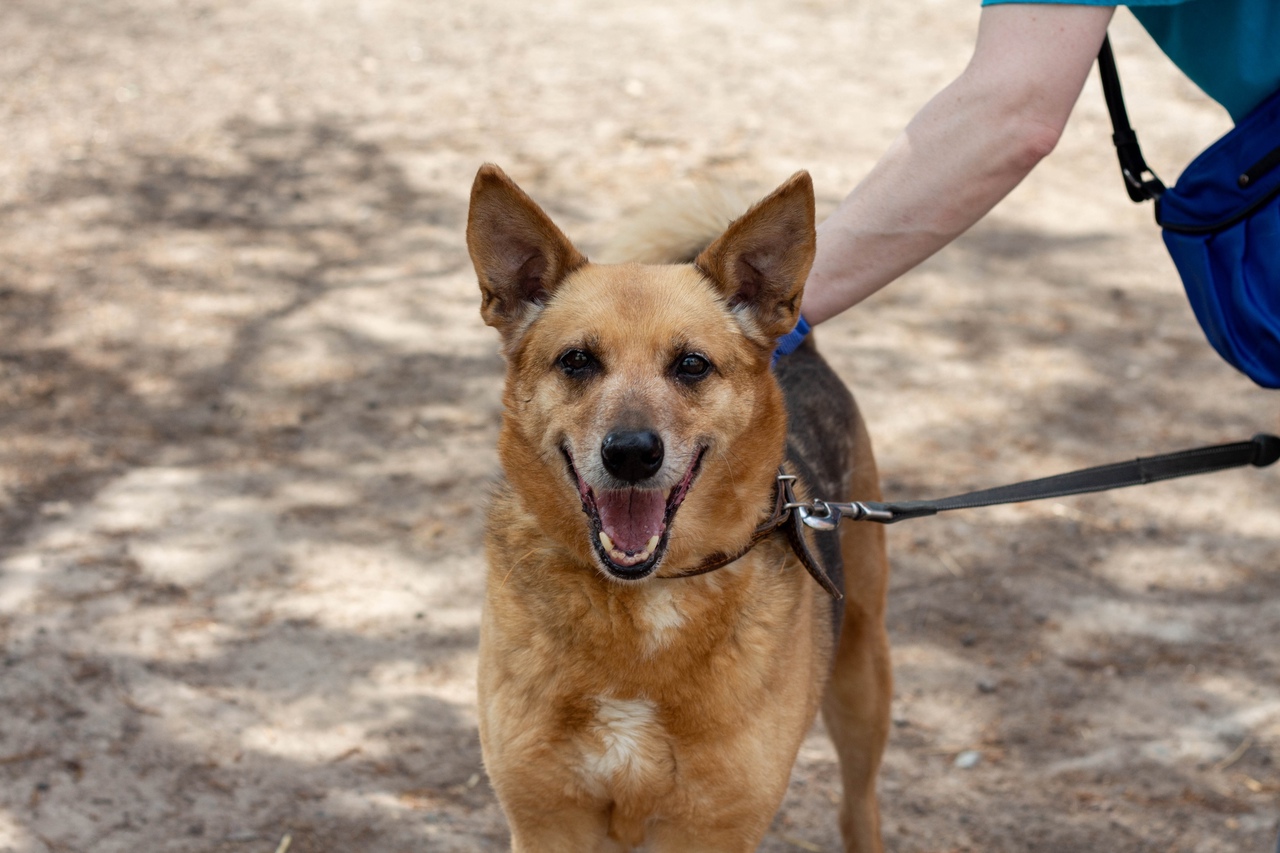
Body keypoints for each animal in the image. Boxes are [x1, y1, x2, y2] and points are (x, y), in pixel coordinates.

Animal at [468, 161, 890, 850]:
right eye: (577, 360)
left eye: (692, 364)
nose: (631, 454)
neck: (645, 601)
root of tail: (799, 344)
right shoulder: (549, 824)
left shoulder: (709, 828)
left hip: (863, 676)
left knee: (859, 808)